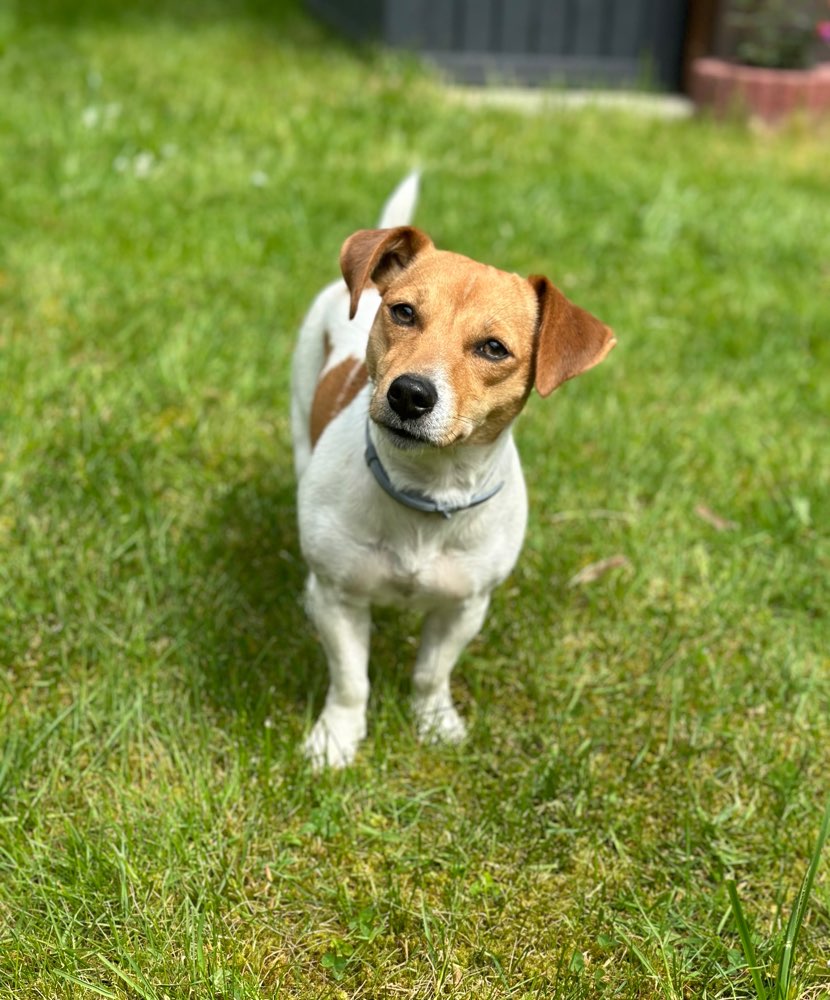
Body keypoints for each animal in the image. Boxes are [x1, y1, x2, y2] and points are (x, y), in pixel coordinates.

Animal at [292, 174, 616, 764]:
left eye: (493, 348)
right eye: (402, 313)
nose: (409, 393)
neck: (426, 489)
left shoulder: (465, 607)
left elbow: (431, 673)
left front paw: (435, 723)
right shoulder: (342, 600)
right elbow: (351, 681)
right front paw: (336, 741)